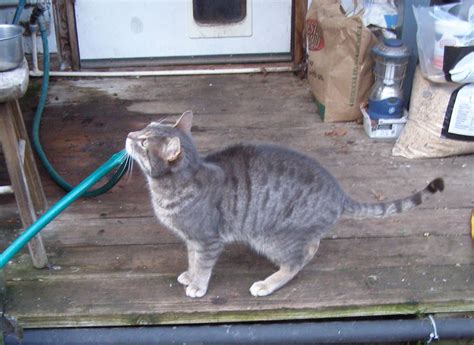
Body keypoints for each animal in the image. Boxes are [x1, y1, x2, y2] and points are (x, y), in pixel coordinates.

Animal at [126, 111, 444, 298]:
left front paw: (198, 285)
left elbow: (203, 265)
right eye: (144, 128)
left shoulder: (207, 240)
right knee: (312, 246)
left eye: (144, 142)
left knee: (296, 262)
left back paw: (267, 283)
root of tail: (338, 193)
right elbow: (193, 260)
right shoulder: (193, 240)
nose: (129, 135)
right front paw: (189, 275)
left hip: (271, 237)